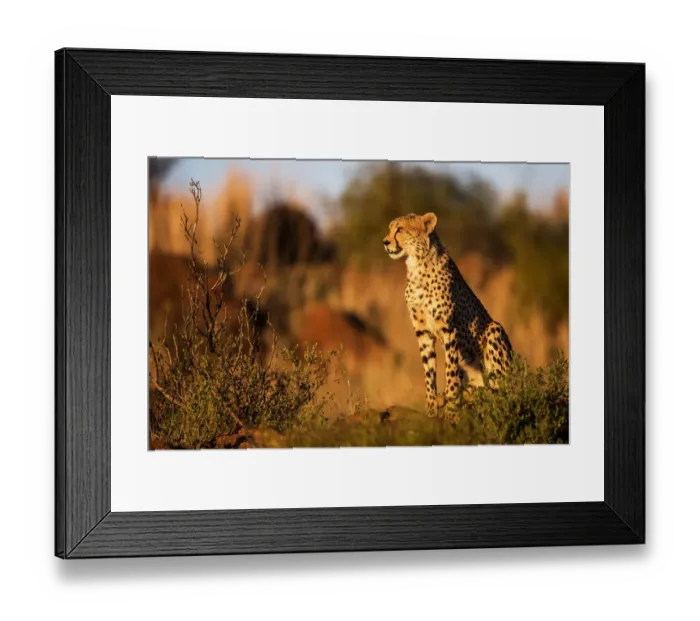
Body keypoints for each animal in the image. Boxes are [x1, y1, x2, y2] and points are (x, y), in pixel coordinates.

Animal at [383, 212, 513, 421]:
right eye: (390, 228)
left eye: (400, 229)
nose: (385, 242)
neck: (416, 264)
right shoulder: (423, 333)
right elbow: (429, 374)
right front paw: (431, 412)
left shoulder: (449, 330)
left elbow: (450, 373)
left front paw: (452, 412)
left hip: (495, 330)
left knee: (504, 389)